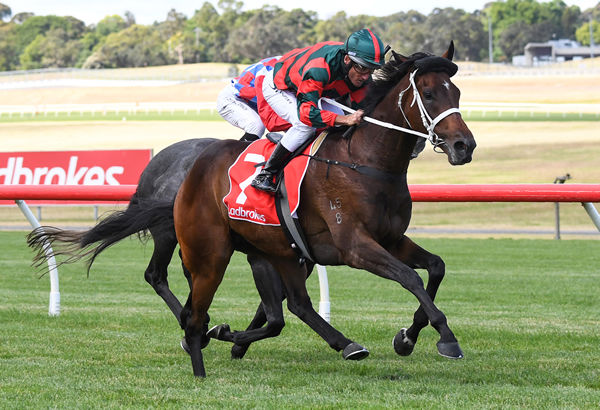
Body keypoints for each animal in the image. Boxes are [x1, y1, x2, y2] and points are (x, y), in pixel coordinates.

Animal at [172, 43, 474, 376]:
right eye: (429, 94)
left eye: (457, 92)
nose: (464, 146)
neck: (365, 162)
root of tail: (197, 162)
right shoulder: (354, 246)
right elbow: (410, 277)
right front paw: (446, 338)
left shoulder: (391, 240)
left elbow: (436, 267)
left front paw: (407, 337)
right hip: (211, 252)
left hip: (279, 252)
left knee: (295, 305)